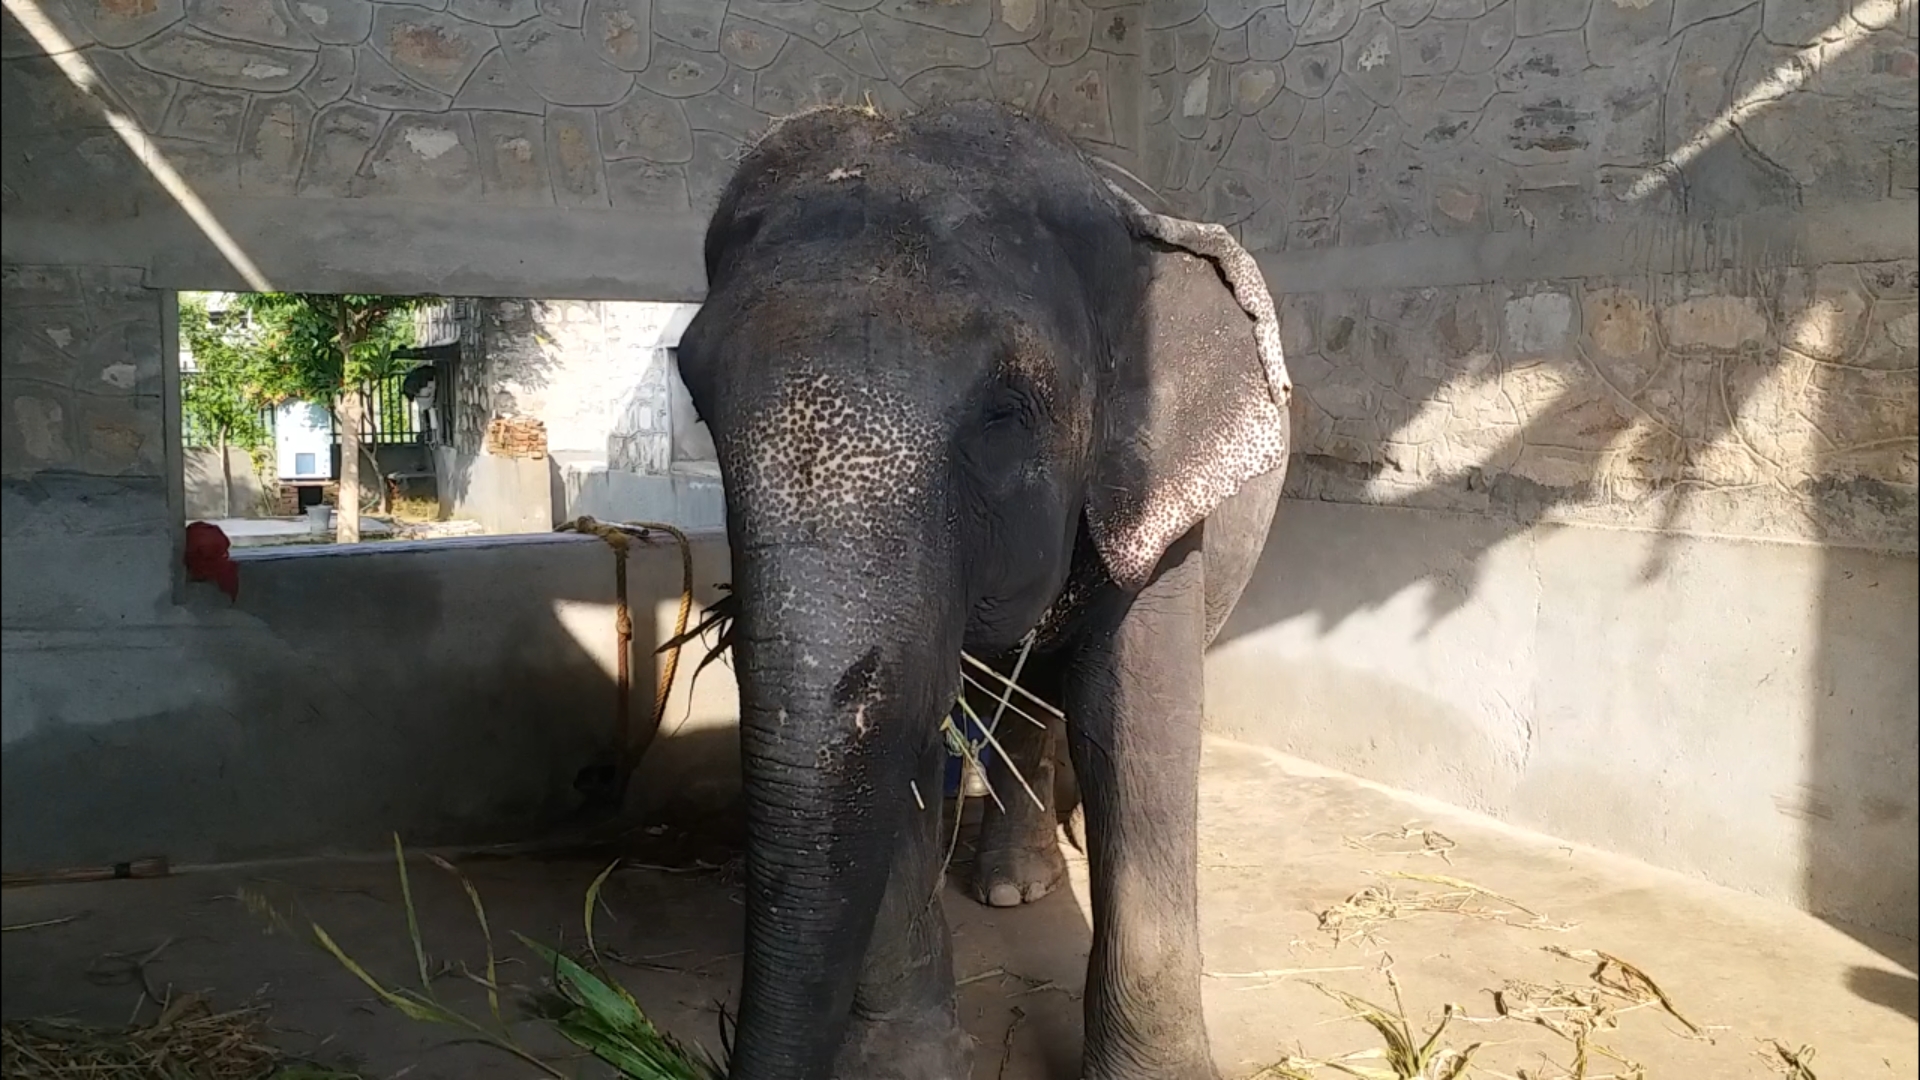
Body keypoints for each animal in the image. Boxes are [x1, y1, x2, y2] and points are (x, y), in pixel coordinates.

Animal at [675, 100, 1290, 1076]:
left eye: (1006, 414)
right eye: (697, 397)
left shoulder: (1159, 495)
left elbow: (1136, 720)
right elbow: (902, 727)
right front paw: (906, 1063)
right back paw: (1012, 884)